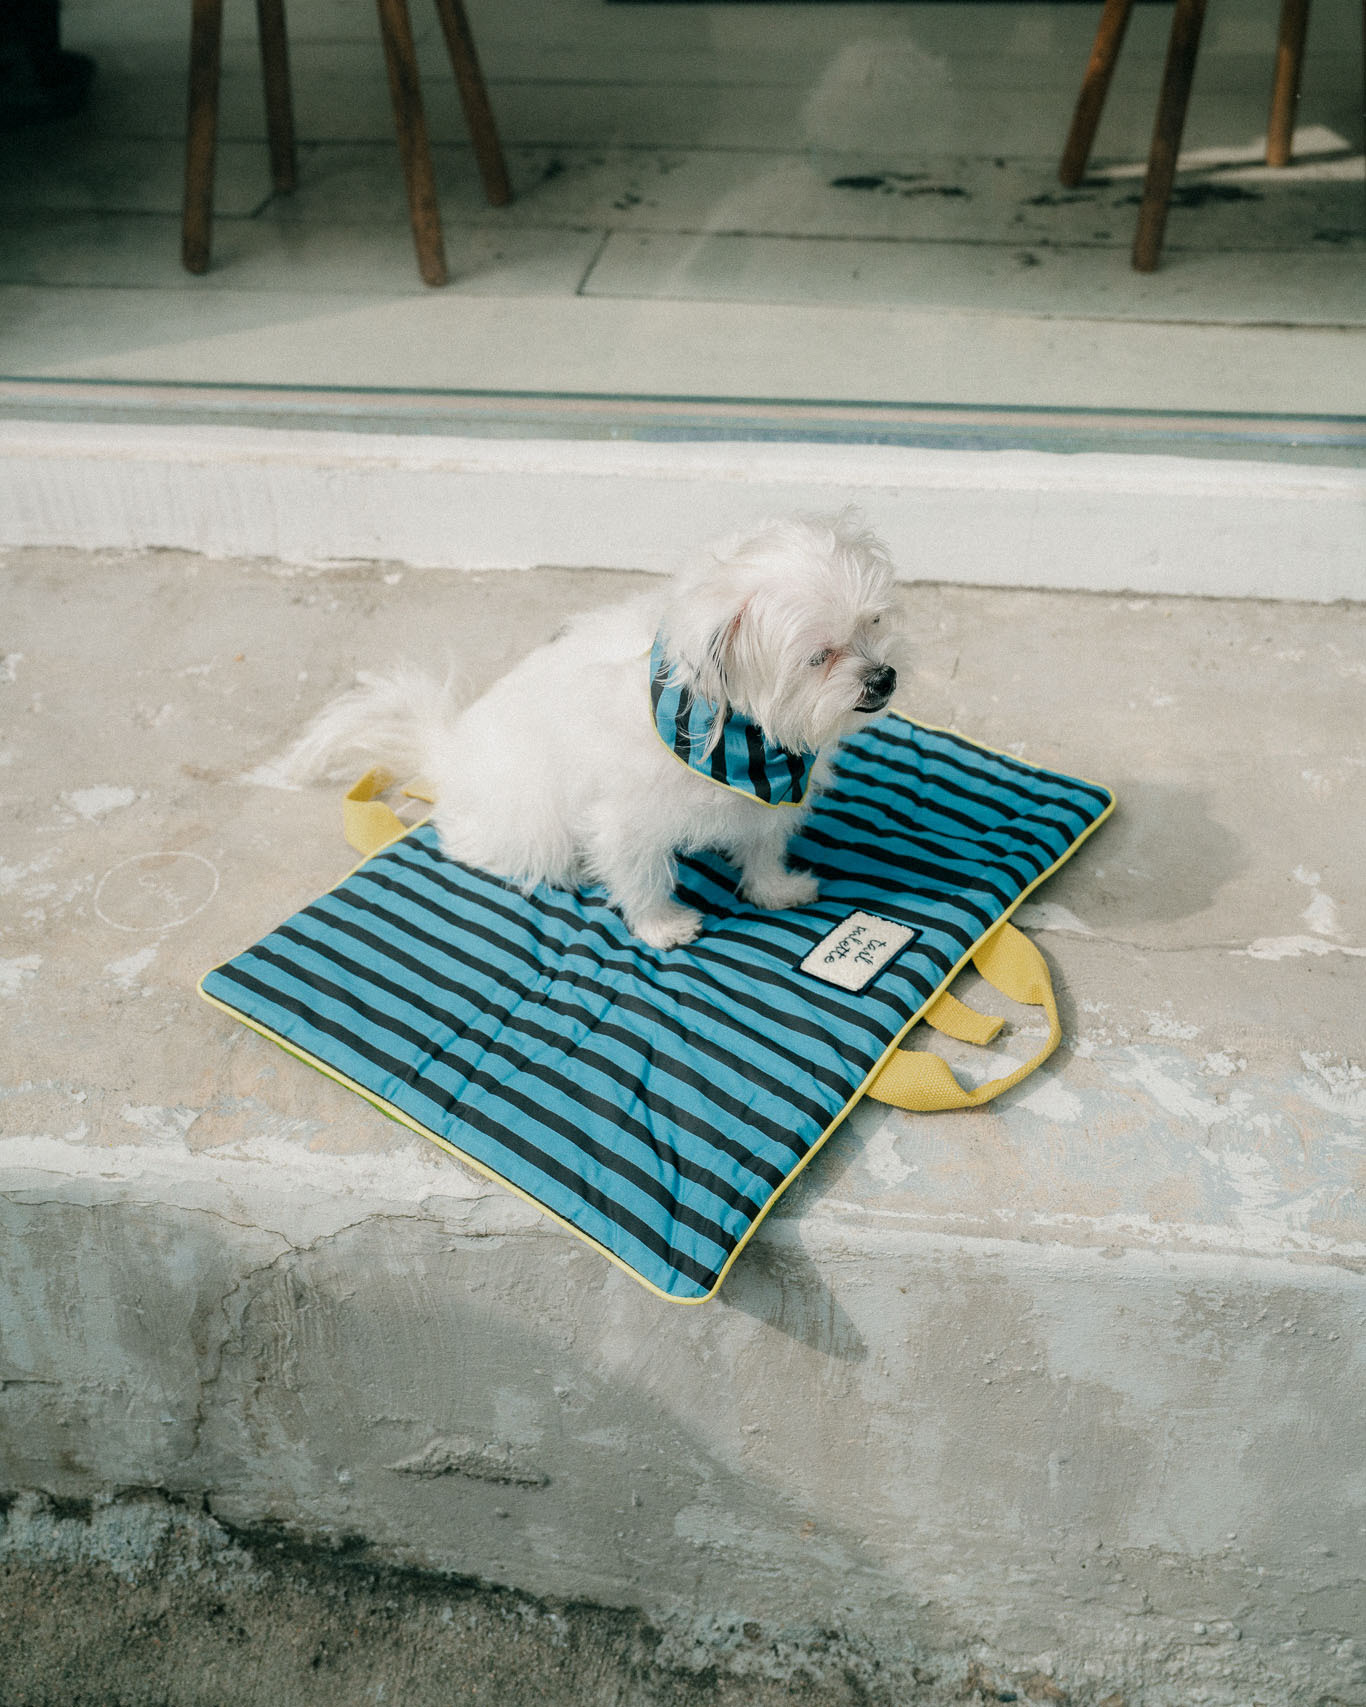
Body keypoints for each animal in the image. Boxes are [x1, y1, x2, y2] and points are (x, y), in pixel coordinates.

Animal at [283, 510, 904, 949]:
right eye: (819, 657)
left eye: (873, 622)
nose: (884, 677)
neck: (739, 739)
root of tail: (449, 753)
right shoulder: (625, 819)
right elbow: (642, 872)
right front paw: (661, 926)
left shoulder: (766, 802)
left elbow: (762, 845)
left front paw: (774, 889)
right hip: (534, 825)